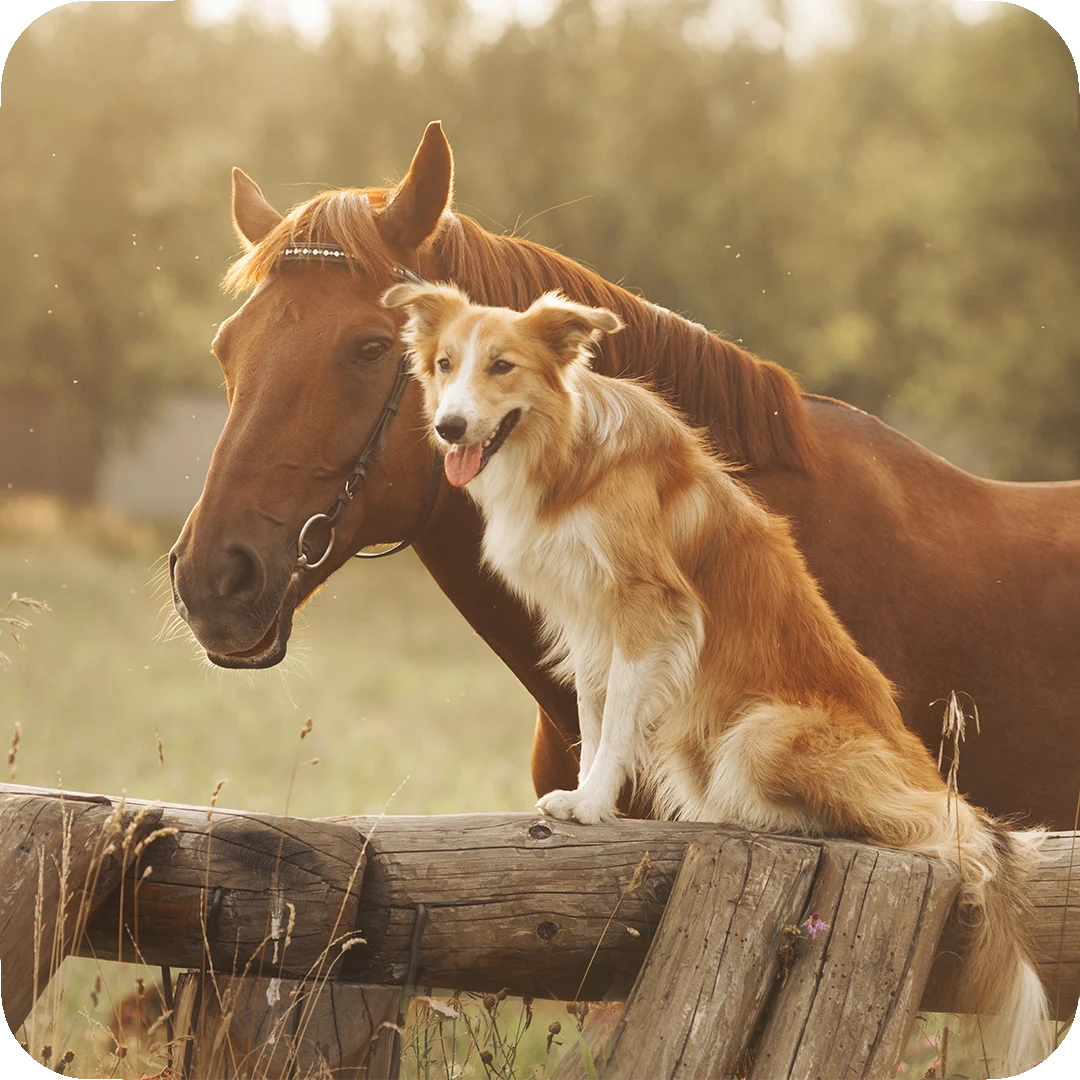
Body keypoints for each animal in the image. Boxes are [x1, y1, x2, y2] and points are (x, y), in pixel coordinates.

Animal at [382, 280, 1054, 1071]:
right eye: (444, 363)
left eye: (502, 366)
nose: (449, 427)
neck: (568, 453)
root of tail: (924, 770)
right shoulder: (588, 622)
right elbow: (594, 714)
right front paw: (584, 797)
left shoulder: (647, 608)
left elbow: (615, 722)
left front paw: (593, 805)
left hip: (763, 733)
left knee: (925, 827)